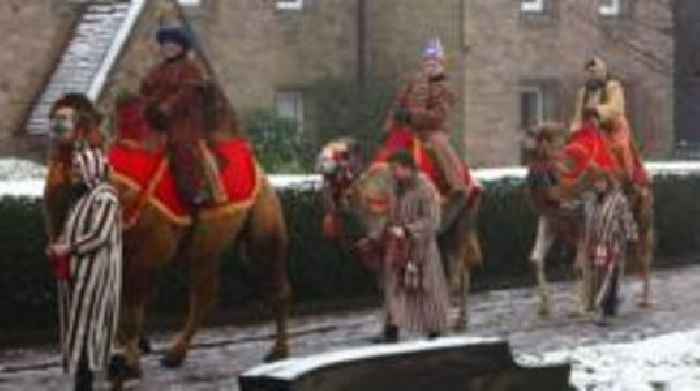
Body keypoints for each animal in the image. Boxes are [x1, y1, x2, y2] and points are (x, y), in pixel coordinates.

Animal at [43, 92, 292, 382]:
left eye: (84, 119)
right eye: (55, 112)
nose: (60, 121)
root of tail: (260, 169)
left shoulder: (148, 255)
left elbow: (130, 314)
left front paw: (131, 366)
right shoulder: (120, 256)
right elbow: (117, 311)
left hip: (263, 219)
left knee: (274, 281)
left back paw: (279, 353)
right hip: (204, 248)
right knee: (204, 295)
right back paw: (175, 355)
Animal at [316, 136, 482, 332]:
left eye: (341, 154)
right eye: (323, 151)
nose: (321, 164)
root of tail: (470, 177)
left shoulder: (387, 230)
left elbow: (389, 277)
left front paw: (393, 324)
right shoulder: (377, 241)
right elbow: (383, 280)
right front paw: (388, 325)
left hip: (463, 218)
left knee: (455, 271)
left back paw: (447, 321)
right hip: (446, 232)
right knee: (461, 270)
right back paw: (460, 321)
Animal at [524, 124, 656, 316]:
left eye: (544, 152)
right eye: (530, 153)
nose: (533, 181)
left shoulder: (584, 219)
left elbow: (580, 264)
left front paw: (581, 308)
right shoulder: (551, 220)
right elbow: (536, 259)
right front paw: (544, 308)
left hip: (641, 216)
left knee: (640, 253)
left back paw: (642, 300)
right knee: (614, 254)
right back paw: (605, 300)